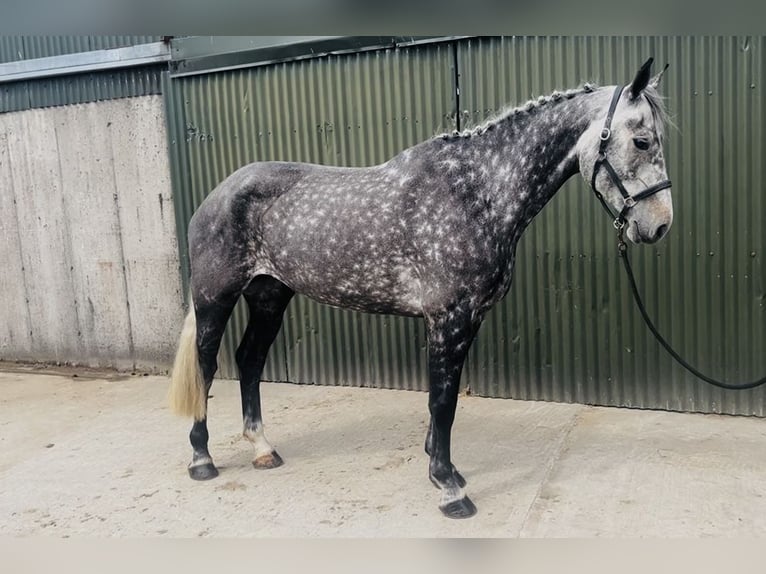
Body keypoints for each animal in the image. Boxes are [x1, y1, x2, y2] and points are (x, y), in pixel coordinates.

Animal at [168, 58, 673, 519]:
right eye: (642, 140)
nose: (660, 226)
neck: (476, 191)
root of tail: (218, 194)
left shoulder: (467, 319)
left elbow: (443, 401)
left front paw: (442, 468)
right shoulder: (448, 319)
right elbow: (443, 400)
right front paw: (449, 488)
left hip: (269, 297)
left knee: (250, 361)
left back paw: (262, 448)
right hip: (216, 298)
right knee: (207, 366)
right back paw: (201, 459)